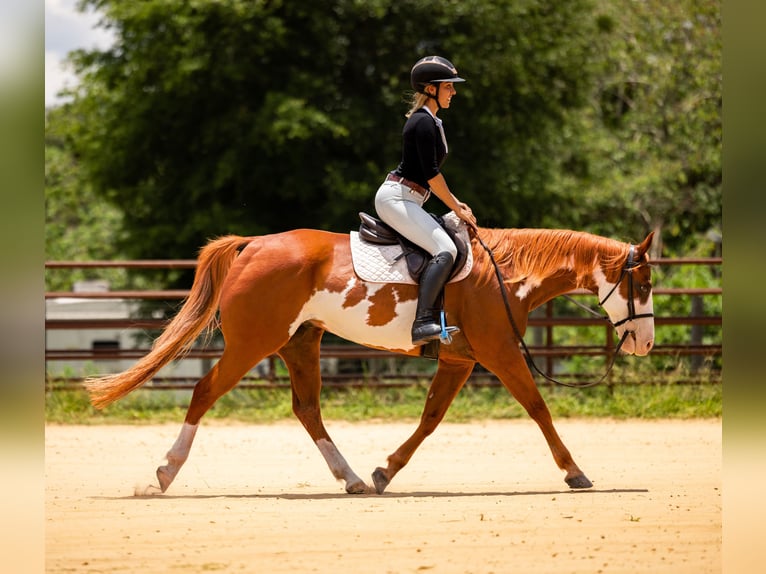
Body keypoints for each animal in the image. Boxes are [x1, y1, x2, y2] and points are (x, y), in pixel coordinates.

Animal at [85, 221, 655, 495]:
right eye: (644, 284)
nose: (645, 345)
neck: (503, 273)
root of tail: (255, 245)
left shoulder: (459, 361)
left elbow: (429, 419)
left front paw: (386, 471)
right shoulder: (497, 352)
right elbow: (539, 408)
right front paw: (575, 472)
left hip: (300, 343)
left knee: (308, 410)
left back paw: (355, 479)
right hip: (254, 344)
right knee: (205, 391)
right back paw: (165, 473)